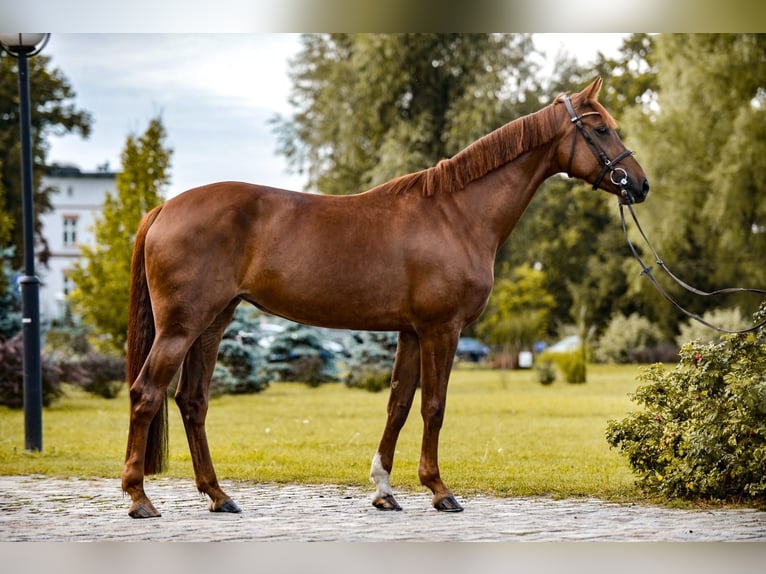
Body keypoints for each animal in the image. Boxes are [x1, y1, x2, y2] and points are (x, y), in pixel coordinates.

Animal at [124, 76, 648, 516]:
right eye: (600, 128)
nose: (639, 184)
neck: (456, 214)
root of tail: (164, 208)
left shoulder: (410, 332)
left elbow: (398, 403)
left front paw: (384, 490)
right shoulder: (442, 329)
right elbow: (433, 406)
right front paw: (439, 490)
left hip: (212, 323)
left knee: (192, 401)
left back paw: (218, 495)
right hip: (181, 327)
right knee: (146, 393)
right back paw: (139, 498)